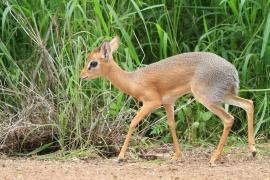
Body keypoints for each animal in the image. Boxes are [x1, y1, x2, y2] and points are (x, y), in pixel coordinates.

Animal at [79, 35, 256, 165]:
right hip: (224, 96)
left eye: (93, 63)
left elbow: (133, 122)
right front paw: (177, 155)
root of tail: (232, 71)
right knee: (248, 104)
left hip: (207, 99)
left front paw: (120, 157)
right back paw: (252, 150)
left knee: (229, 119)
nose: (81, 76)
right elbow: (171, 124)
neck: (134, 80)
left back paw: (214, 158)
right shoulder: (169, 103)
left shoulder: (151, 103)